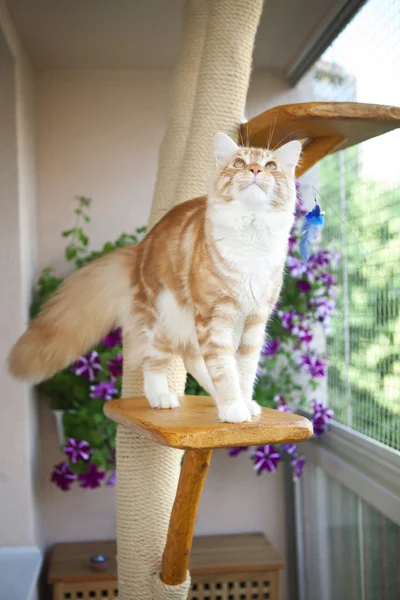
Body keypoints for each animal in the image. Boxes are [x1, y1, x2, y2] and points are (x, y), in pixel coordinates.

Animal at [8, 132, 300, 422]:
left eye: (271, 166)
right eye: (239, 163)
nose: (255, 170)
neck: (252, 234)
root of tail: (139, 249)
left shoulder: (254, 320)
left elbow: (243, 371)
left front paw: (243, 403)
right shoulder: (215, 316)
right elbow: (224, 369)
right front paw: (233, 408)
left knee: (193, 359)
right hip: (161, 320)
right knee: (156, 363)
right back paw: (162, 397)